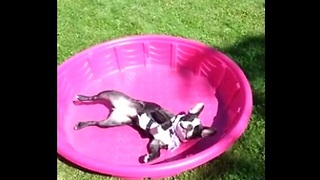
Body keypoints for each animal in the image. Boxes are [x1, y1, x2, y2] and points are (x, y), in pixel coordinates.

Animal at [74, 90, 216, 163]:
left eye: (195, 129)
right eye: (188, 119)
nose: (187, 126)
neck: (173, 132)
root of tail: (117, 108)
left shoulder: (154, 142)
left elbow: (157, 153)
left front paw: (149, 158)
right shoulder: (160, 113)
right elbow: (164, 119)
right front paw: (166, 122)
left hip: (110, 122)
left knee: (95, 122)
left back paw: (81, 124)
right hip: (109, 94)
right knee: (94, 97)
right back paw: (81, 97)